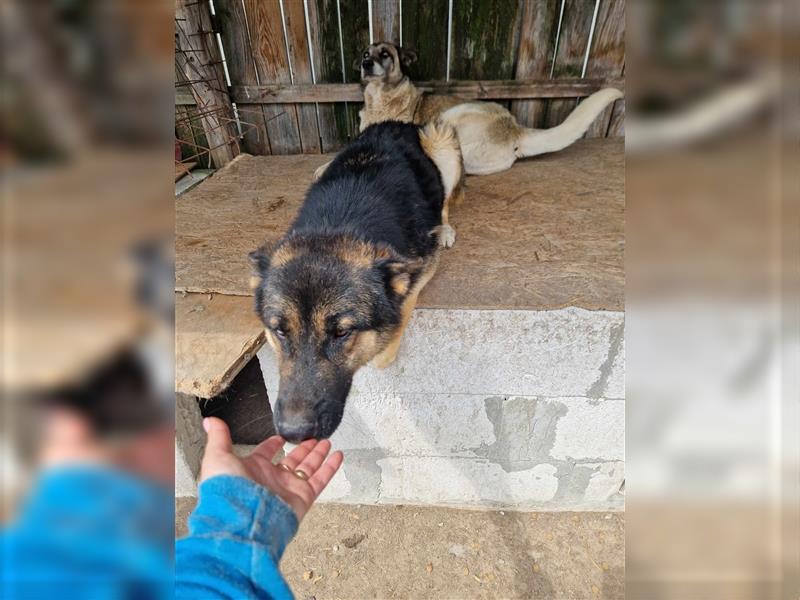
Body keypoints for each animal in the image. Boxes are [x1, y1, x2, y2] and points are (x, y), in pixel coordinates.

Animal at [250, 120, 462, 440]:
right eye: (280, 332)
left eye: (342, 333)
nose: (293, 433)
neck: (337, 227)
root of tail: (395, 123)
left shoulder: (423, 264)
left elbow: (397, 320)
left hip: (440, 141)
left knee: (446, 202)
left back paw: (446, 228)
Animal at [356, 40, 624, 173]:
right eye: (366, 53)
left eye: (385, 54)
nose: (365, 63)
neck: (380, 98)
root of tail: (515, 129)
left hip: (451, 117)